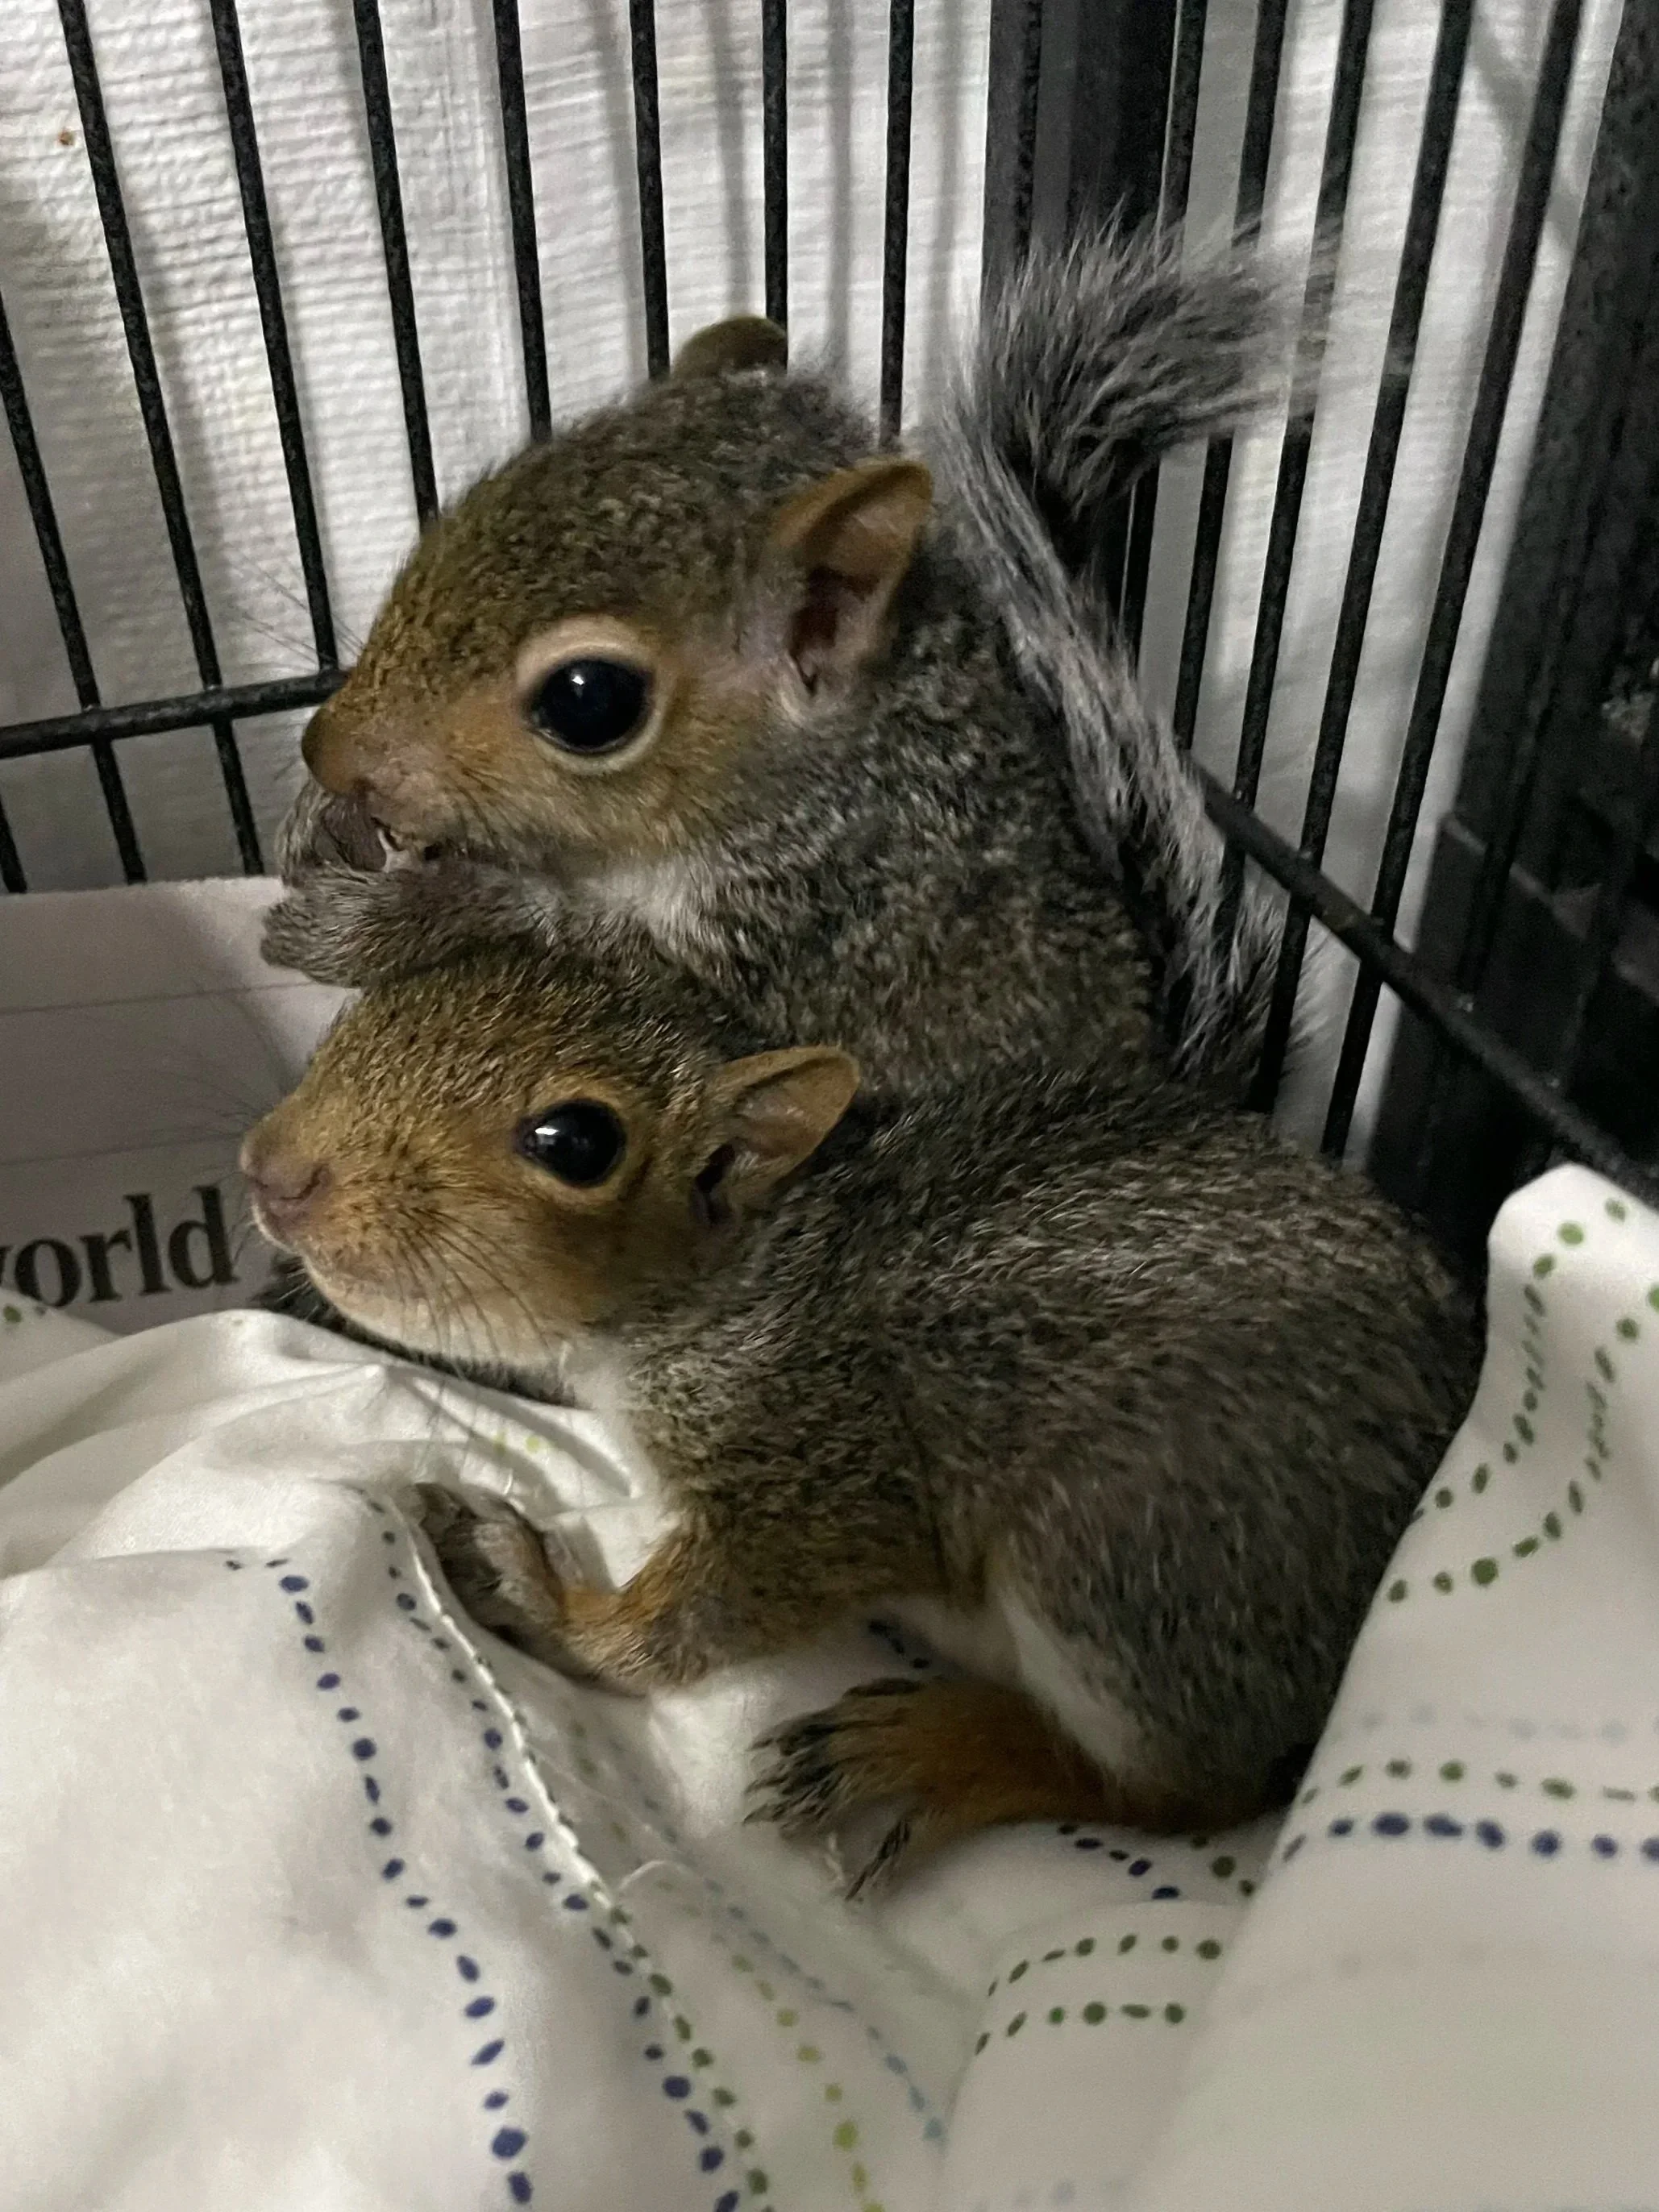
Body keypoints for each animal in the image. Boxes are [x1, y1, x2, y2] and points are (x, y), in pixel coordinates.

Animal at [241, 932, 1480, 1892]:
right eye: (377, 1001)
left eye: (577, 1142)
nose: (273, 1167)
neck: (743, 1273)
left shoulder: (823, 1458)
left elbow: (695, 1620)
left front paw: (540, 1597)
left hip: (1127, 1552)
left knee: (1188, 1790)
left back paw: (938, 1748)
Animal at [263, 228, 1297, 1099]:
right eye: (465, 508)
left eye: (589, 699)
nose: (326, 750)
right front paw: (321, 817)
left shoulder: (815, 937)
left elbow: (578, 952)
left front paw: (381, 921)